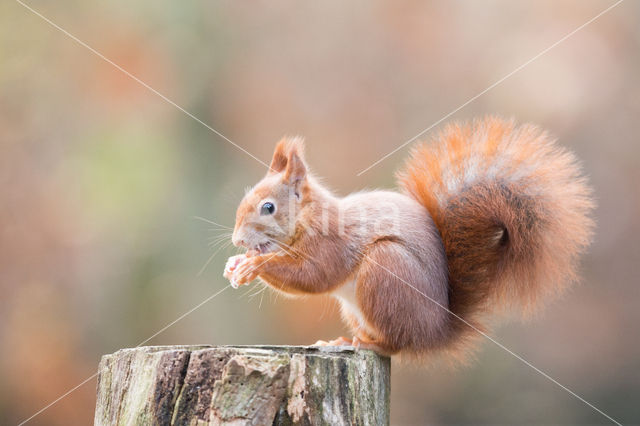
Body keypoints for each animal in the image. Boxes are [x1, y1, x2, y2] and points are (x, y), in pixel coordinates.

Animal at [222, 117, 592, 360]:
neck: (310, 218)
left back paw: (366, 344)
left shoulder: (333, 244)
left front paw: (254, 265)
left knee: (394, 346)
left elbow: (313, 276)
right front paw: (235, 264)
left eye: (268, 208)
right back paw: (344, 341)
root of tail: (437, 330)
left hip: (385, 272)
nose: (238, 240)